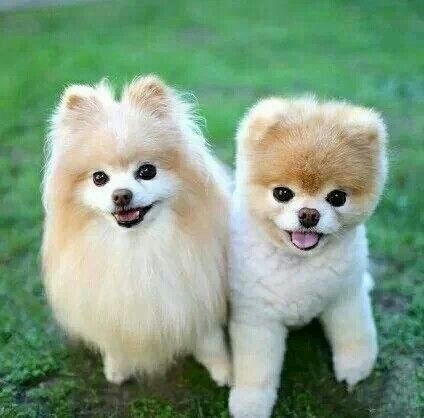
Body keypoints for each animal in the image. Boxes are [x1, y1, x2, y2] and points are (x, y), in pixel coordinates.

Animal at [42, 75, 231, 386]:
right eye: (99, 178)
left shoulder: (197, 294)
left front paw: (225, 370)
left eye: (146, 171)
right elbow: (114, 339)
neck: (137, 246)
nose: (121, 195)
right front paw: (117, 368)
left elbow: (210, 340)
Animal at [228, 97, 387, 418]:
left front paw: (356, 366)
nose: (309, 215)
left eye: (337, 197)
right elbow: (256, 368)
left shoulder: (344, 298)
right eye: (282, 193)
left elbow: (355, 332)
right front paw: (251, 403)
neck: (299, 263)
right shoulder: (257, 318)